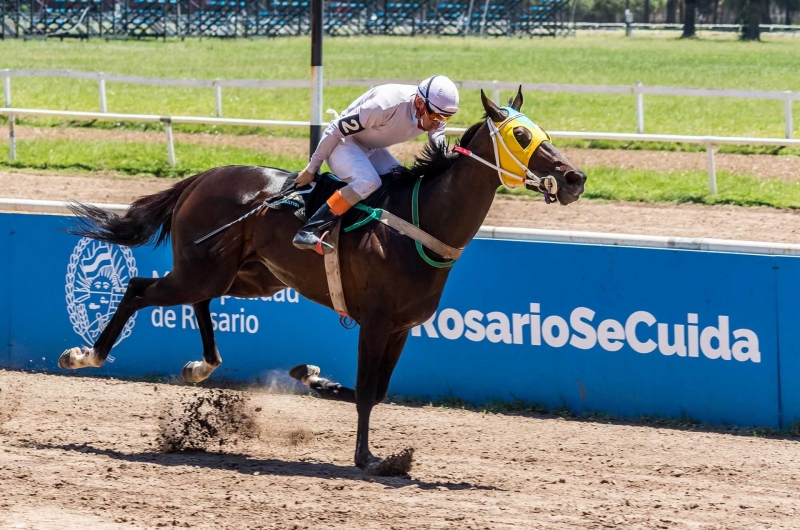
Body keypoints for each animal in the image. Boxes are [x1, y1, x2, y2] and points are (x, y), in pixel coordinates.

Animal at [59, 88, 584, 472]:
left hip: (243, 276)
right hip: (203, 270)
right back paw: (86, 355)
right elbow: (367, 392)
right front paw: (368, 458)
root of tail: (201, 178)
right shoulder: (375, 322)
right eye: (521, 134)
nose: (574, 178)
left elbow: (375, 391)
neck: (422, 225)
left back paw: (201, 366)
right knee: (137, 289)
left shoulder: (400, 328)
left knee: (196, 300)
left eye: (543, 131)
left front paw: (312, 376)